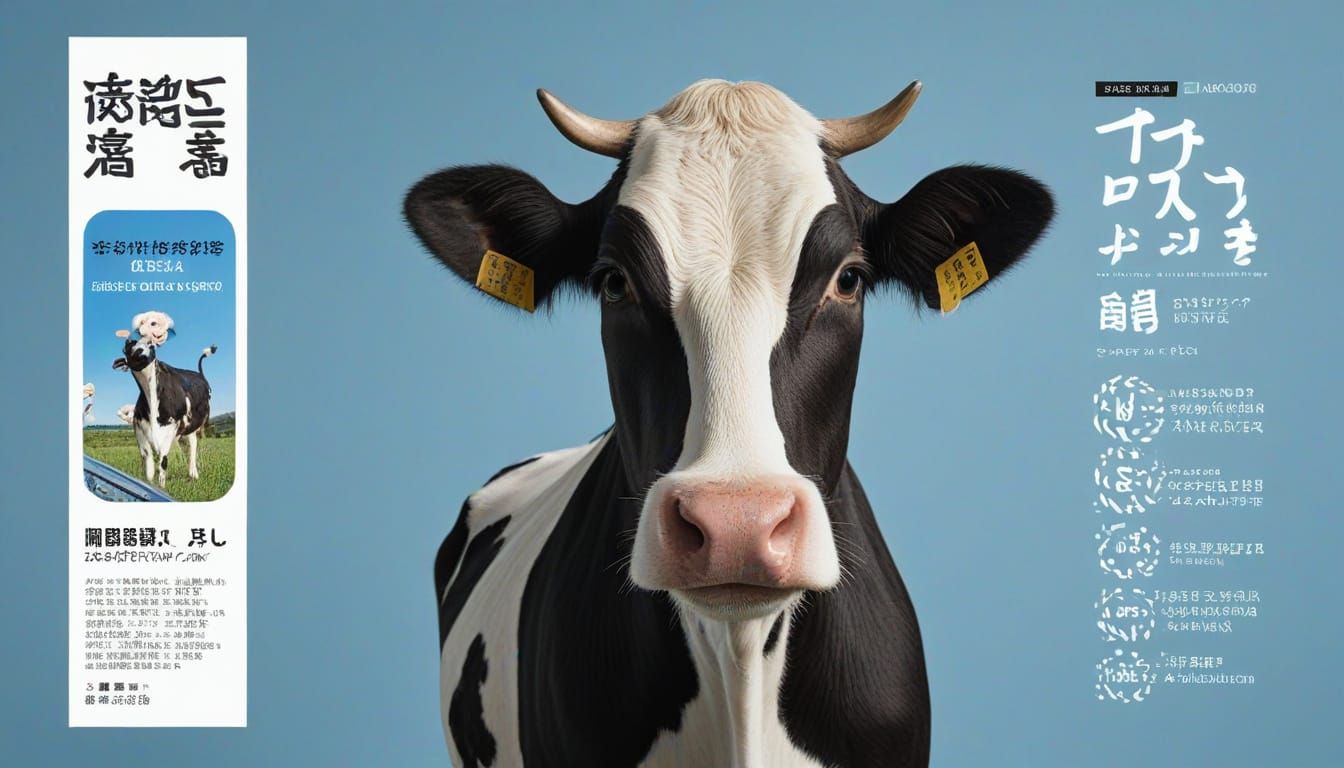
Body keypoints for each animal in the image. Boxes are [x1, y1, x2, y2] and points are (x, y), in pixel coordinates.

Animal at [114, 335, 217, 486]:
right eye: (129, 346)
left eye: (151, 346)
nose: (129, 340)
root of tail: (199, 374)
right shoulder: (140, 431)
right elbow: (148, 467)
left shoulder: (171, 428)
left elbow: (163, 462)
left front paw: (162, 487)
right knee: (189, 445)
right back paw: (192, 474)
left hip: (197, 426)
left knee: (194, 446)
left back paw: (194, 474)